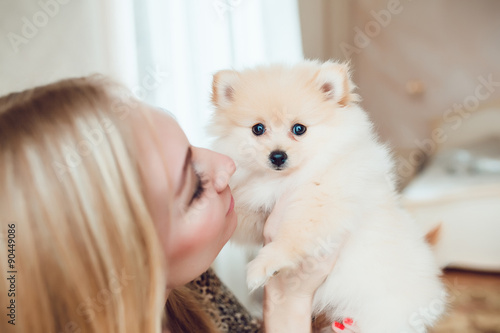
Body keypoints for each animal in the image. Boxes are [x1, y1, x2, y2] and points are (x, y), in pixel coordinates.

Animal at [206, 60, 446, 332]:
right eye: (258, 129)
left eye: (299, 129)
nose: (277, 156)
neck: (286, 179)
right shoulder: (261, 216)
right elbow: (241, 214)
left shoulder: (321, 203)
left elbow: (291, 236)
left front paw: (264, 264)